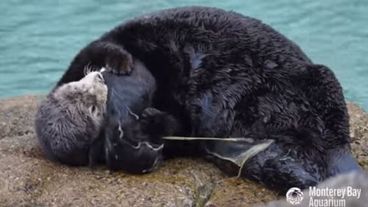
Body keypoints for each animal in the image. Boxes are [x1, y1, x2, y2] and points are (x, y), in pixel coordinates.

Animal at [38, 6, 362, 192]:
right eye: (94, 109)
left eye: (90, 98)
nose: (101, 80)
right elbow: (173, 130)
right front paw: (148, 121)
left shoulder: (88, 55)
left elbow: (102, 47)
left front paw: (120, 62)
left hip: (320, 80)